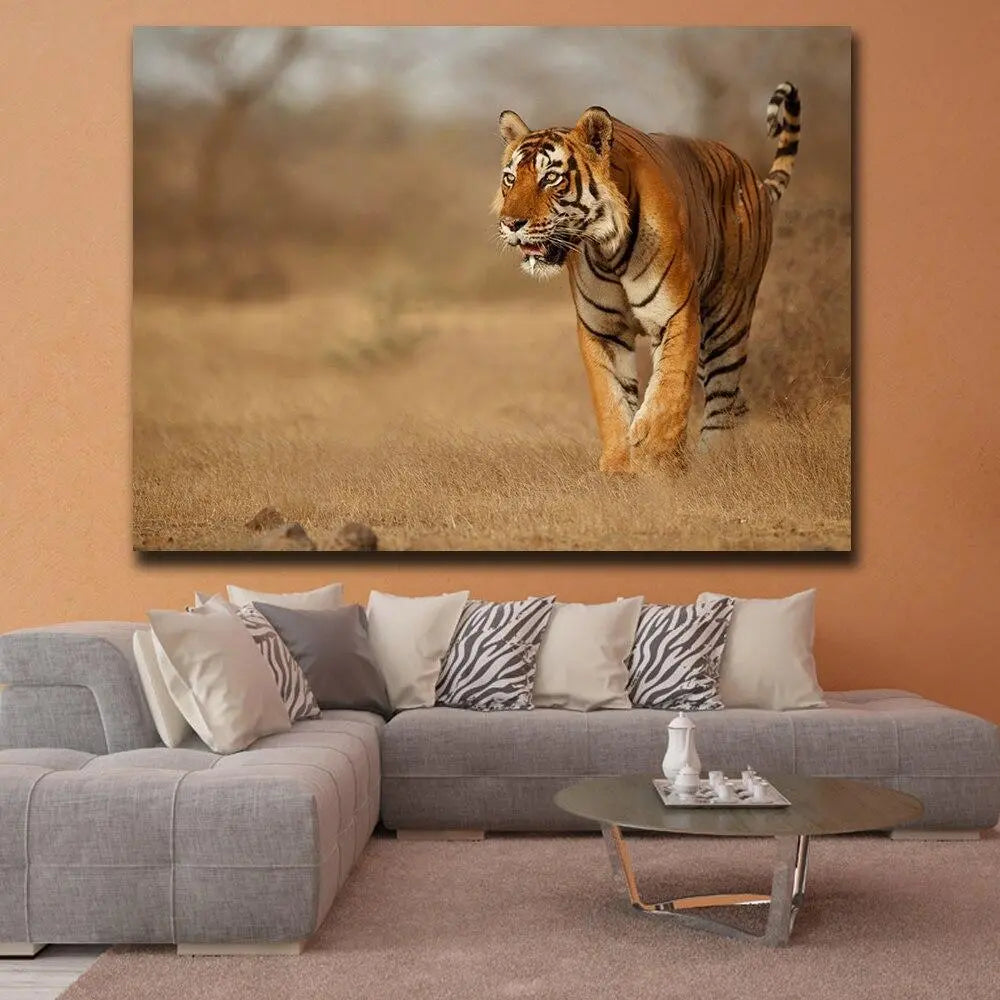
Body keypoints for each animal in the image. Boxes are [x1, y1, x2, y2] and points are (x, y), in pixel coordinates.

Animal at [493, 82, 801, 473]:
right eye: (510, 179)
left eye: (551, 178)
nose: (510, 224)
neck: (608, 251)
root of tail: (755, 179)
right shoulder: (602, 330)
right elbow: (611, 400)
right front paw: (619, 466)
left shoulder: (676, 314)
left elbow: (669, 388)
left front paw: (655, 455)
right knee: (736, 401)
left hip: (727, 319)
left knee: (722, 395)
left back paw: (711, 462)